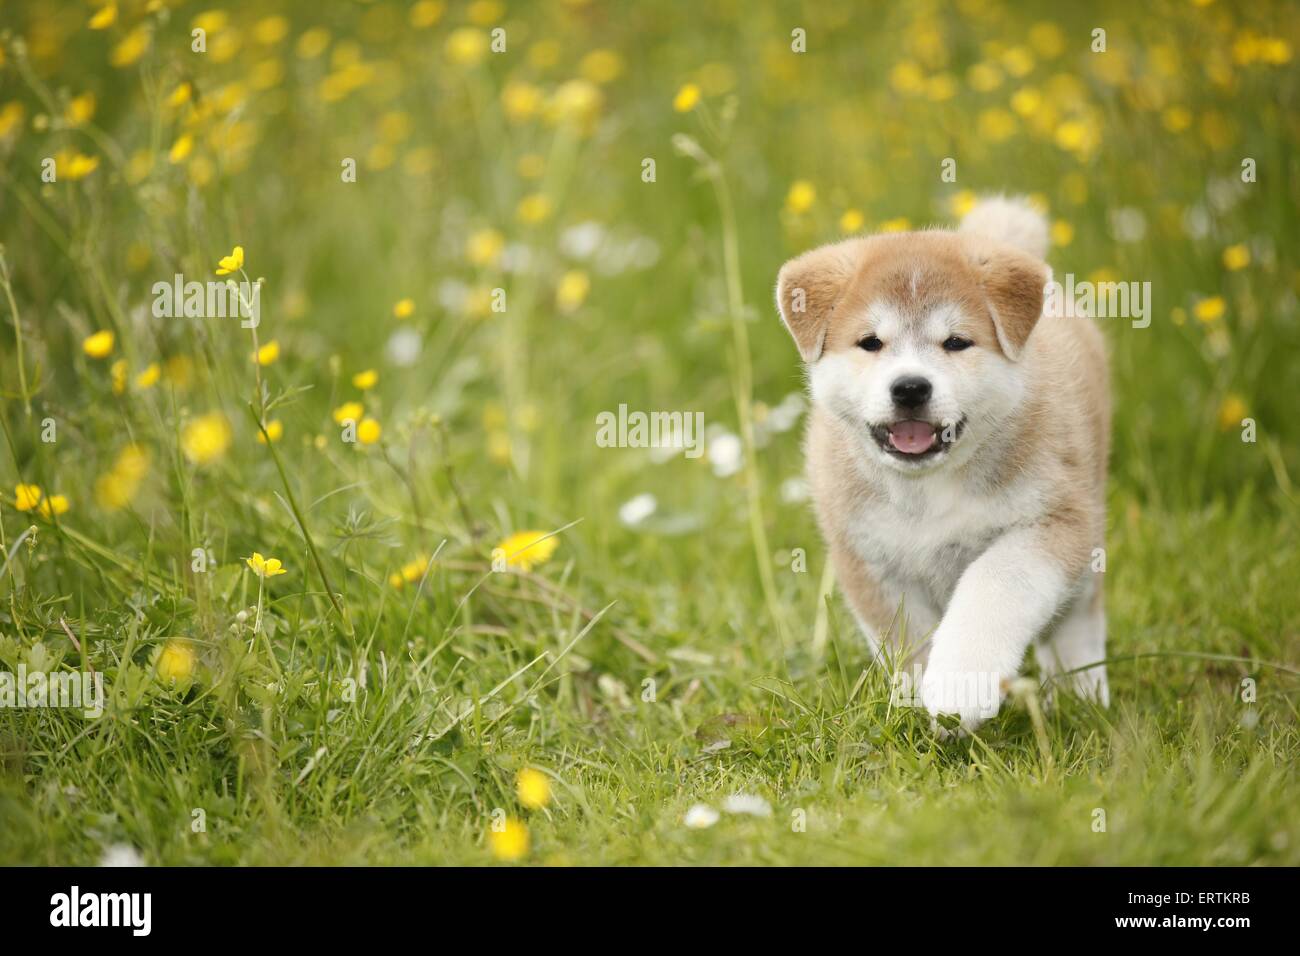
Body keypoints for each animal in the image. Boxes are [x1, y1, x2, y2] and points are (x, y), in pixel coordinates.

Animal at [774, 196, 1112, 733]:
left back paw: (1083, 692)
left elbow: (992, 587)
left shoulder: (1051, 521)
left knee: (1078, 621)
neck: (929, 491)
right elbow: (908, 642)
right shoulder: (870, 558)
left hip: (1085, 544)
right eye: (871, 342)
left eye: (955, 342)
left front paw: (961, 684)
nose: (910, 387)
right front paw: (924, 713)